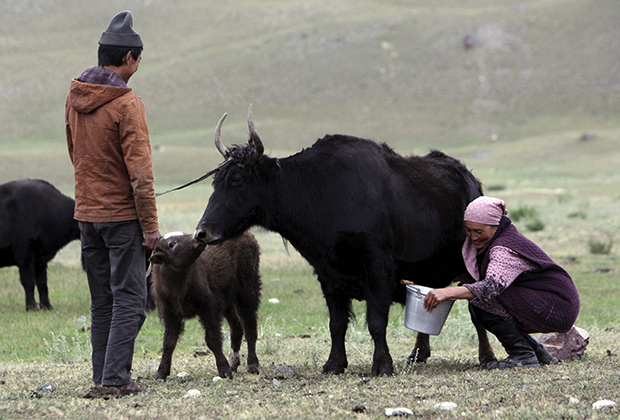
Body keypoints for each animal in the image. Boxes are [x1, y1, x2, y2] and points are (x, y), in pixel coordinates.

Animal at [150, 231, 262, 378]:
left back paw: (252, 364)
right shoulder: (169, 312)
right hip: (227, 298)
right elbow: (168, 342)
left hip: (248, 288)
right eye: (171, 244)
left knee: (250, 326)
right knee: (237, 327)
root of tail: (247, 234)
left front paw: (224, 370)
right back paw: (233, 363)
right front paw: (161, 372)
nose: (198, 239)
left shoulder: (208, 307)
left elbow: (213, 339)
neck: (178, 287)